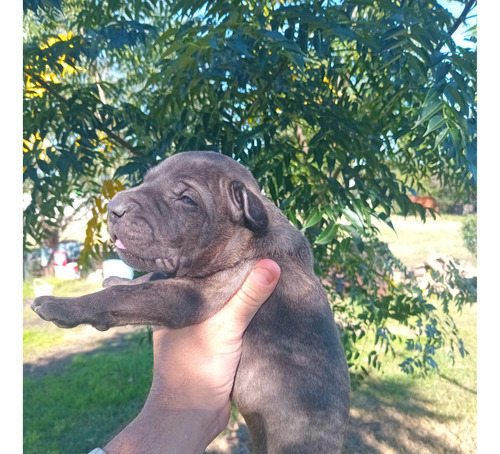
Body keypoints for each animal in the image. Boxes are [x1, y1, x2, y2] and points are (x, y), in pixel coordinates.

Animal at [33, 151, 350, 452]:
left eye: (186, 200)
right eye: (146, 180)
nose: (113, 208)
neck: (245, 237)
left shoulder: (191, 296)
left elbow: (127, 296)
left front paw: (60, 305)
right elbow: (149, 278)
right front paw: (118, 279)